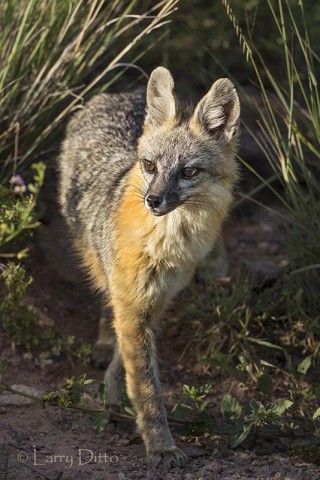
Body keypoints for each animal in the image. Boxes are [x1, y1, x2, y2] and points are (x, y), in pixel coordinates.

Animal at [59, 67, 240, 468]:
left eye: (189, 171)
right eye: (150, 166)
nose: (153, 200)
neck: (167, 245)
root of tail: (113, 94)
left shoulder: (155, 304)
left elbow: (131, 366)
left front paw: (111, 391)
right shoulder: (132, 305)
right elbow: (146, 386)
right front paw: (160, 445)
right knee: (104, 294)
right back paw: (102, 340)